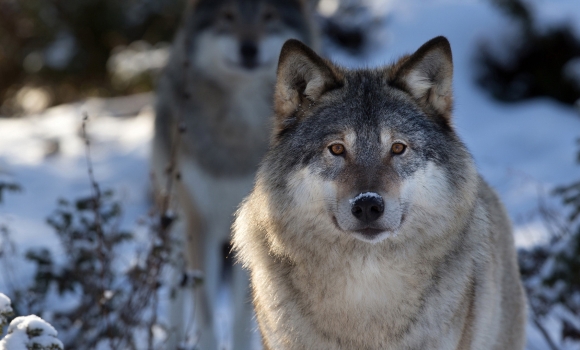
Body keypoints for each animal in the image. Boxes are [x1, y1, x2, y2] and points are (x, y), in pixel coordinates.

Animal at [150, 1, 320, 348]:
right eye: (227, 16)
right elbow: (205, 314)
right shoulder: (198, 224)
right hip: (176, 222)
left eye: (269, 16)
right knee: (176, 289)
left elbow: (246, 314)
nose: (248, 48)